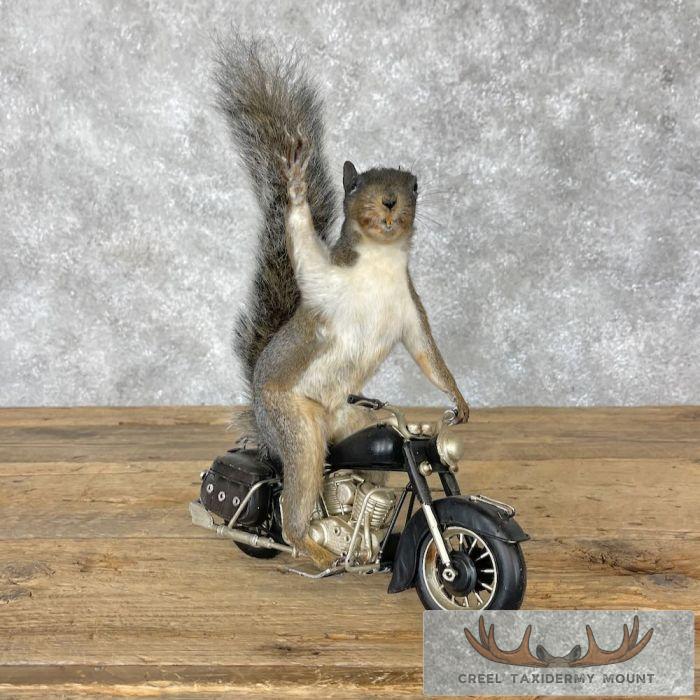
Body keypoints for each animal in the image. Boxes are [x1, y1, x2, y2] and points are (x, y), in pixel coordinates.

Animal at [215, 36, 470, 568]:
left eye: (414, 186)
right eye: (356, 185)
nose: (390, 201)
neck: (379, 262)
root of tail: (262, 425)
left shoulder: (410, 310)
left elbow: (427, 353)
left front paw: (457, 400)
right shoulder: (325, 278)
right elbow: (302, 243)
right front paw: (294, 184)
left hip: (351, 421)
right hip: (297, 425)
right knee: (295, 500)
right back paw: (311, 548)